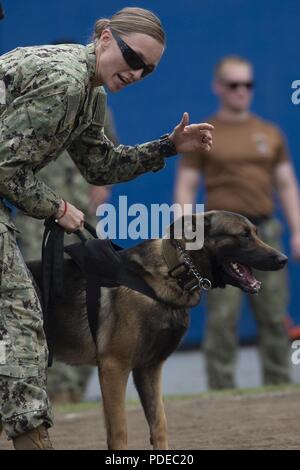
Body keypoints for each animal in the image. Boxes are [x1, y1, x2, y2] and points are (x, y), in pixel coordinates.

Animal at [27, 211, 286, 450]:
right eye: (243, 235)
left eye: (256, 233)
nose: (283, 259)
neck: (173, 271)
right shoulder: (114, 367)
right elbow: (119, 431)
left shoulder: (149, 368)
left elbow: (159, 423)